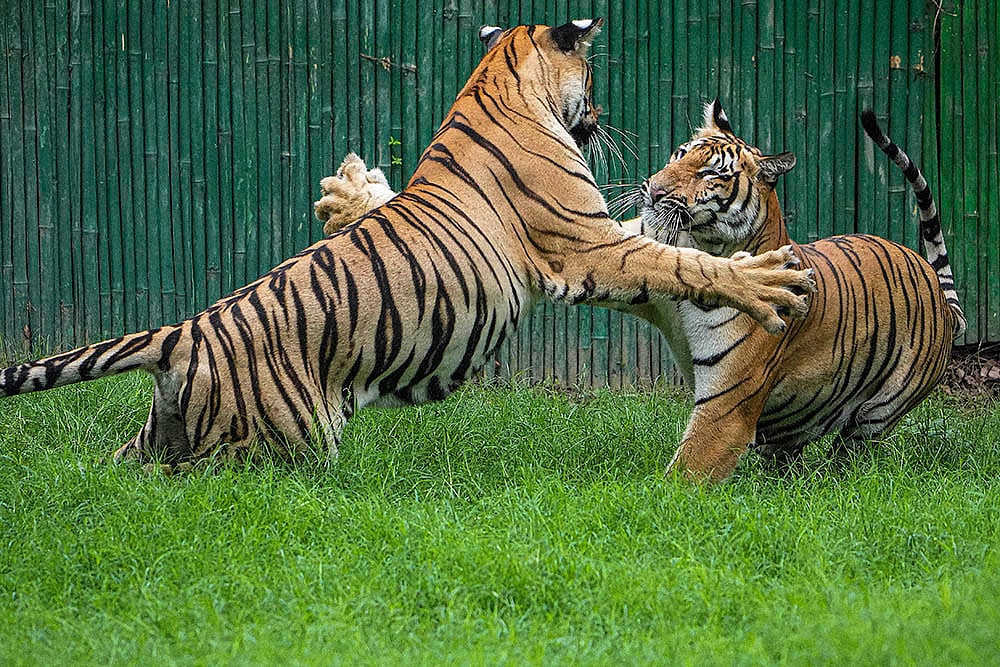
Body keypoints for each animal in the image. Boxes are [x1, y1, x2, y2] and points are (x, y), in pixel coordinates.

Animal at [0, 21, 813, 469]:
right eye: (592, 73)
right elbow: (684, 260)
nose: (604, 115)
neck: (496, 81)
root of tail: (182, 330)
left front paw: (346, 189)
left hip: (155, 440)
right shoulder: (588, 245)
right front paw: (769, 281)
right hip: (268, 447)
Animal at [318, 100, 964, 483]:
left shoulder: (727, 407)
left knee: (851, 449)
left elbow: (686, 476)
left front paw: (647, 509)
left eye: (712, 174)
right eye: (680, 153)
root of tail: (938, 289)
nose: (654, 190)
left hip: (877, 413)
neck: (711, 247)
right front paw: (348, 198)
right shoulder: (640, 269)